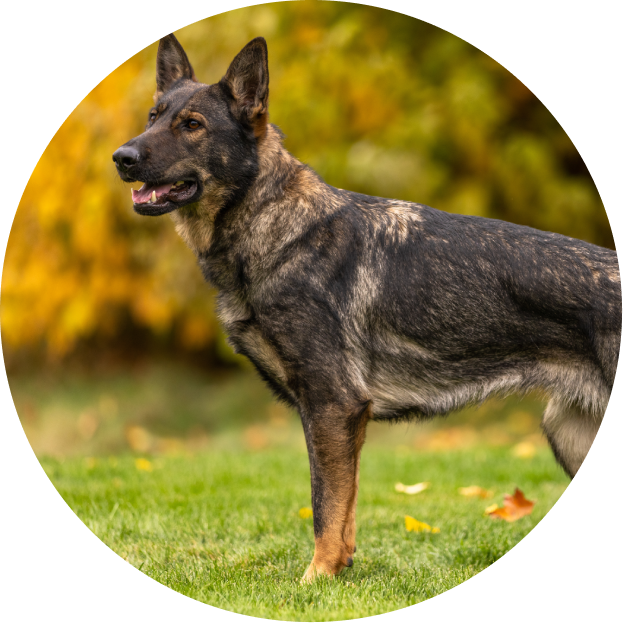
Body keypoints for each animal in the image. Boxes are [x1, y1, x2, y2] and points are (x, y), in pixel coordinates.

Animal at [114, 33, 620, 580]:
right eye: (152, 117)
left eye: (192, 125)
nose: (121, 157)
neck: (273, 223)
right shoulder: (342, 419)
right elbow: (345, 511)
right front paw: (339, 573)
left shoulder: (333, 405)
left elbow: (325, 506)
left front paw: (314, 580)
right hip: (568, 433)